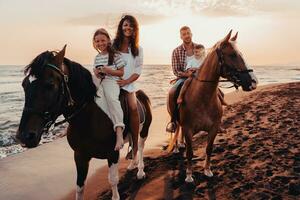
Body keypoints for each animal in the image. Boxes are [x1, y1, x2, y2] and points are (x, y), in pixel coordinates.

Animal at [15, 46, 152, 199]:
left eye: (50, 85)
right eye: (24, 85)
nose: (24, 136)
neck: (89, 120)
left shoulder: (112, 154)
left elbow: (113, 180)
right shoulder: (80, 156)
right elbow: (80, 187)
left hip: (144, 131)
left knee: (140, 147)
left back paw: (140, 172)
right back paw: (132, 165)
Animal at [166, 30, 258, 182]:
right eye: (232, 55)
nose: (254, 82)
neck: (202, 99)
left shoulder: (213, 129)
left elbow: (209, 149)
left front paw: (207, 170)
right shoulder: (188, 129)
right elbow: (190, 153)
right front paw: (189, 175)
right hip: (177, 121)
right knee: (177, 128)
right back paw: (176, 147)